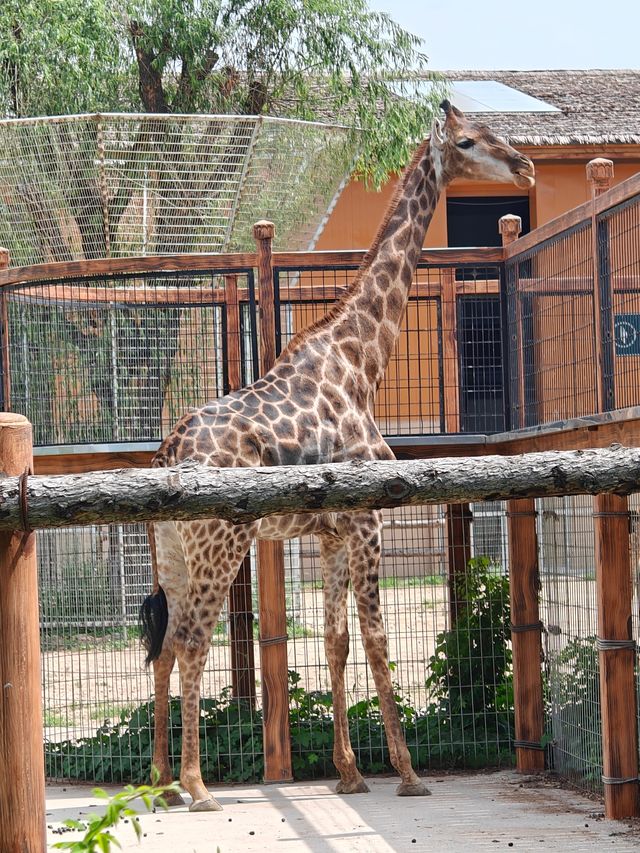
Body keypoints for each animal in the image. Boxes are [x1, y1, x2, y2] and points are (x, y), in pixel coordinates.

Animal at [140, 101, 536, 812]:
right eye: (468, 141)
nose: (523, 165)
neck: (363, 360)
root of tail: (167, 453)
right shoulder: (368, 518)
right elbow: (377, 640)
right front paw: (407, 773)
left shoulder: (329, 532)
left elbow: (336, 641)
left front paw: (350, 771)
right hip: (220, 544)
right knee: (191, 643)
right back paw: (197, 786)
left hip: (175, 554)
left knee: (164, 646)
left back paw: (160, 784)